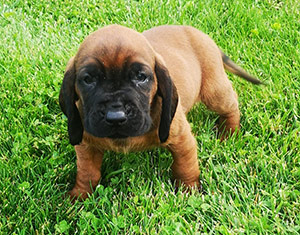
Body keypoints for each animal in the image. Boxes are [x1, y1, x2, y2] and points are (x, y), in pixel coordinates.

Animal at [59, 24, 262, 200]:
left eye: (141, 77)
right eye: (88, 79)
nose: (116, 118)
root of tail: (200, 34)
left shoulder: (182, 140)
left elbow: (185, 167)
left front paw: (188, 191)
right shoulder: (86, 145)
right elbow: (87, 172)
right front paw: (79, 196)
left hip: (215, 92)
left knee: (232, 104)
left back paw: (229, 131)